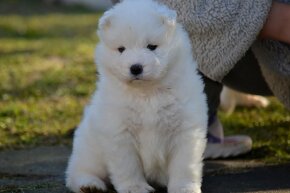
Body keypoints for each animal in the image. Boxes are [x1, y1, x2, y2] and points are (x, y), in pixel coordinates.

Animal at [65, 0, 207, 193]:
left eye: (151, 46)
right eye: (121, 49)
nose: (136, 68)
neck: (146, 93)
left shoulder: (185, 129)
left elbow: (184, 165)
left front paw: (184, 187)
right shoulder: (119, 132)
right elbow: (128, 166)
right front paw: (135, 187)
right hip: (90, 150)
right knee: (78, 171)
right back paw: (89, 184)